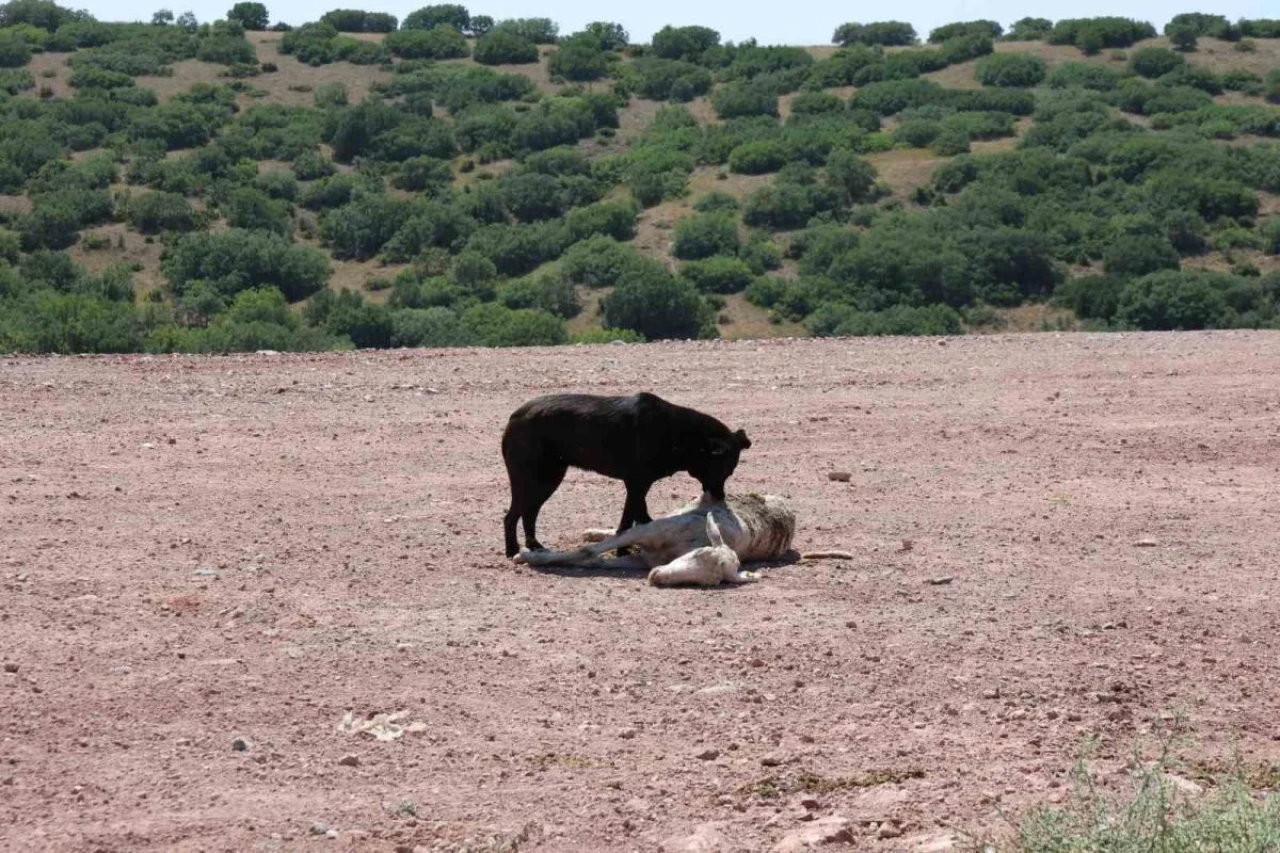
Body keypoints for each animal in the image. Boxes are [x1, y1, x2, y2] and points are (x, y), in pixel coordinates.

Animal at [501, 391, 747, 558]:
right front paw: (625, 549)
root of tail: (514, 417)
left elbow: (635, 519)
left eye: (731, 471)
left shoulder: (638, 487)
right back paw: (513, 550)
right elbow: (634, 519)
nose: (720, 497)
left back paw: (534, 546)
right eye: (724, 469)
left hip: (548, 479)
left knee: (529, 513)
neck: (682, 436)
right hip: (532, 479)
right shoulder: (637, 484)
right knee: (512, 516)